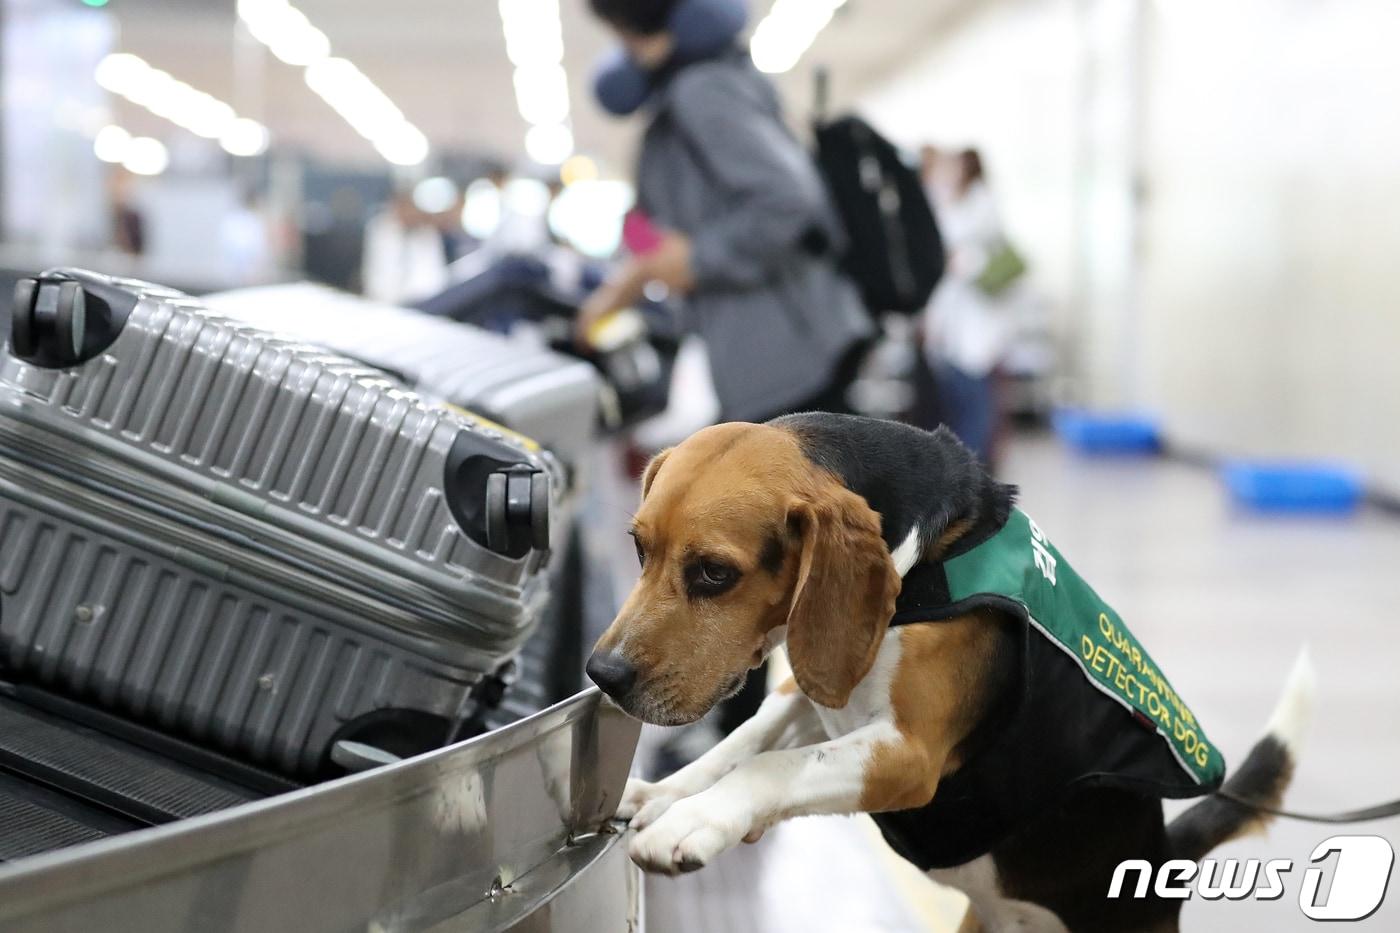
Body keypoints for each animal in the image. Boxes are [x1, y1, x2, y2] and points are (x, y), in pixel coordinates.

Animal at [590, 414, 1310, 930]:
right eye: (639, 548)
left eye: (715, 572)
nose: (602, 674)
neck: (920, 564)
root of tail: (1164, 862)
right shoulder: (815, 698)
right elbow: (740, 747)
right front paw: (661, 796)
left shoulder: (911, 755)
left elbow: (771, 765)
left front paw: (693, 821)